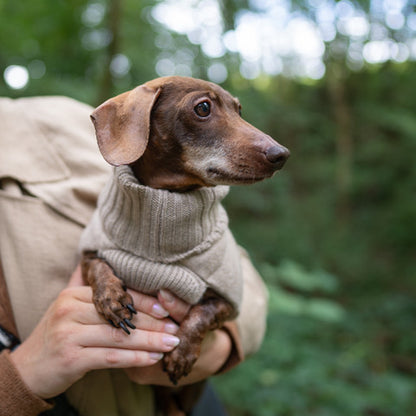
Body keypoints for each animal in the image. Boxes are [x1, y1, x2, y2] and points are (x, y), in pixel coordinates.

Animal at [81, 75, 290, 386]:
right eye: (202, 108)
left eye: (239, 110)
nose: (282, 154)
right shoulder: (88, 253)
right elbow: (98, 266)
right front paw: (112, 299)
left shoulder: (228, 301)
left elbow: (202, 313)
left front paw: (181, 353)